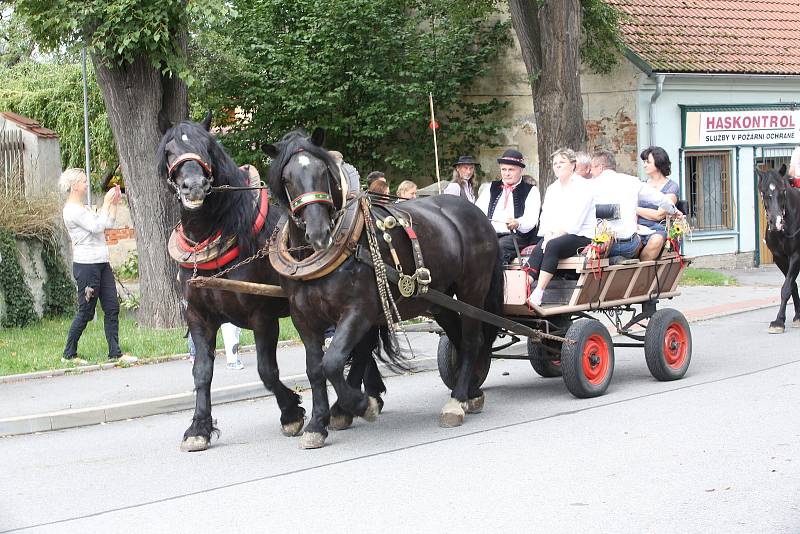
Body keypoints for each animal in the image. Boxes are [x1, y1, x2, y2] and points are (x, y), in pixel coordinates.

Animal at [158, 113, 386, 452]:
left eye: (207, 147)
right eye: (169, 151)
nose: (194, 187)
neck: (225, 233)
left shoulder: (262, 316)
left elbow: (267, 370)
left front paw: (291, 413)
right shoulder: (199, 316)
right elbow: (201, 372)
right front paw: (198, 427)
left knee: (362, 347)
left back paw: (345, 407)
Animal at [264, 127, 500, 450]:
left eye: (324, 172)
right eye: (287, 179)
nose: (319, 233)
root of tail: (476, 213)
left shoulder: (358, 312)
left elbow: (332, 362)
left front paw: (362, 405)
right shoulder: (304, 318)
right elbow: (315, 369)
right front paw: (316, 424)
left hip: (472, 290)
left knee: (473, 339)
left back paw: (457, 401)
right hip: (439, 300)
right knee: (459, 338)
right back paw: (473, 391)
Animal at [756, 166, 800, 336]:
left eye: (783, 190)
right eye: (763, 192)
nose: (776, 222)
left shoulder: (796, 256)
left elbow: (786, 288)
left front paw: (779, 321)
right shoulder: (780, 258)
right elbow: (791, 285)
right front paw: (795, 317)